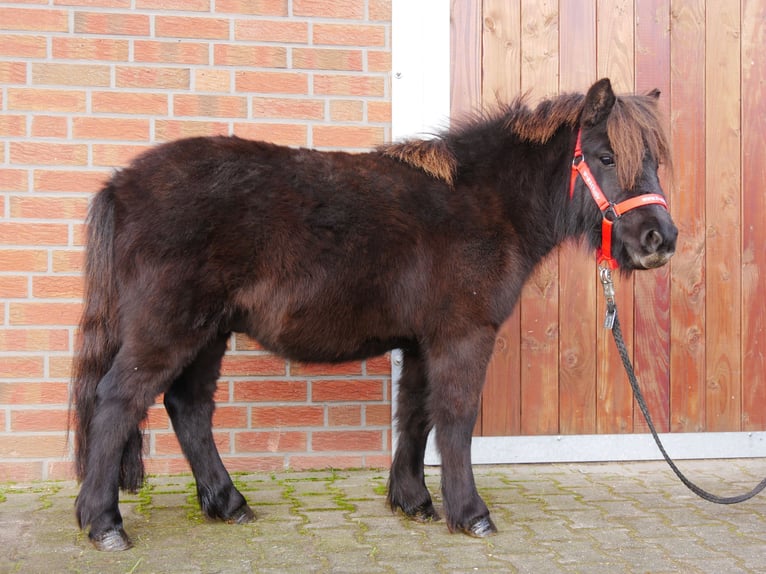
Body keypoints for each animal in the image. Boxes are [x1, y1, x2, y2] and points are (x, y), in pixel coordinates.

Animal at [73, 79, 680, 552]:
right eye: (606, 157)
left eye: (652, 161)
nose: (661, 239)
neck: (486, 202)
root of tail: (121, 184)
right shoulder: (462, 336)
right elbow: (456, 418)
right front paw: (471, 514)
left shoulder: (420, 341)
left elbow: (415, 415)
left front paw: (413, 501)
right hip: (170, 328)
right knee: (117, 402)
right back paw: (105, 524)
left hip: (208, 333)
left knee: (189, 408)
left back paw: (228, 503)